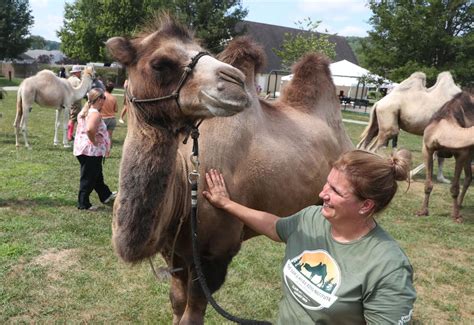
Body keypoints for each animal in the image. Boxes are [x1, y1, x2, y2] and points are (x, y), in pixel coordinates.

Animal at [107, 15, 352, 324]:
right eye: (160, 63)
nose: (234, 81)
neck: (186, 186)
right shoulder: (174, 252)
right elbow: (176, 301)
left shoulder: (215, 254)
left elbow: (193, 313)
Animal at [416, 92, 472, 223]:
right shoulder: (427, 148)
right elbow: (428, 184)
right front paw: (422, 211)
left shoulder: (462, 153)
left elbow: (455, 187)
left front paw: (456, 216)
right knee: (469, 176)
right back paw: (460, 205)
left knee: (468, 177)